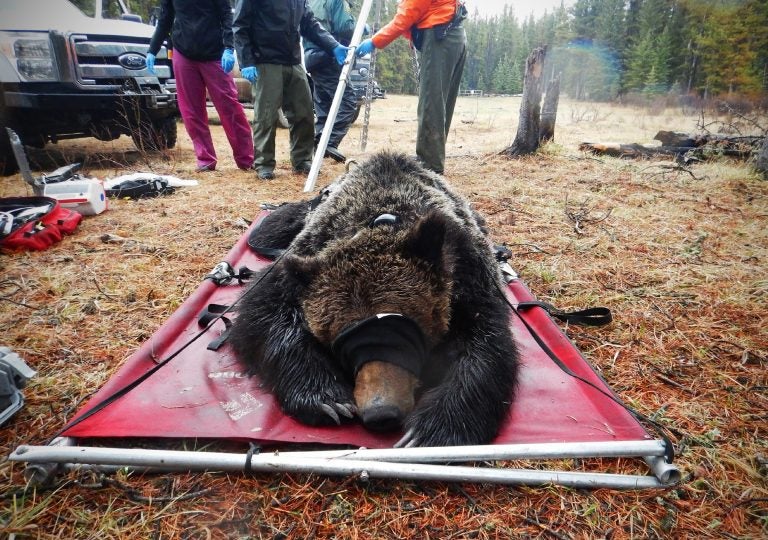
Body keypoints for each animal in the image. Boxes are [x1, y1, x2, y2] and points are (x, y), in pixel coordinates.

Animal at [228, 152, 516, 448]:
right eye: (342, 341)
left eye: (405, 333)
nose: (380, 413)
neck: (382, 218)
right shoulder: (302, 257)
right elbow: (263, 312)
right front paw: (327, 399)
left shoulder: (469, 272)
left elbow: (486, 345)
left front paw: (430, 430)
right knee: (273, 226)